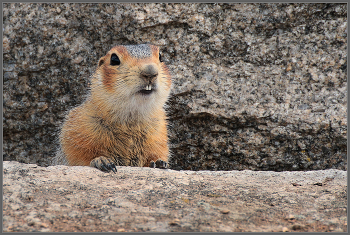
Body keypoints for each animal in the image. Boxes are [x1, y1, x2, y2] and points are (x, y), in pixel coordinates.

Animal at [53, 44, 172, 173]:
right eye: (114, 59)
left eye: (160, 56)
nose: (150, 71)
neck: (131, 117)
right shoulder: (75, 131)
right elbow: (77, 158)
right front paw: (102, 160)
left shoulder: (159, 135)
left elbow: (155, 153)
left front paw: (158, 162)